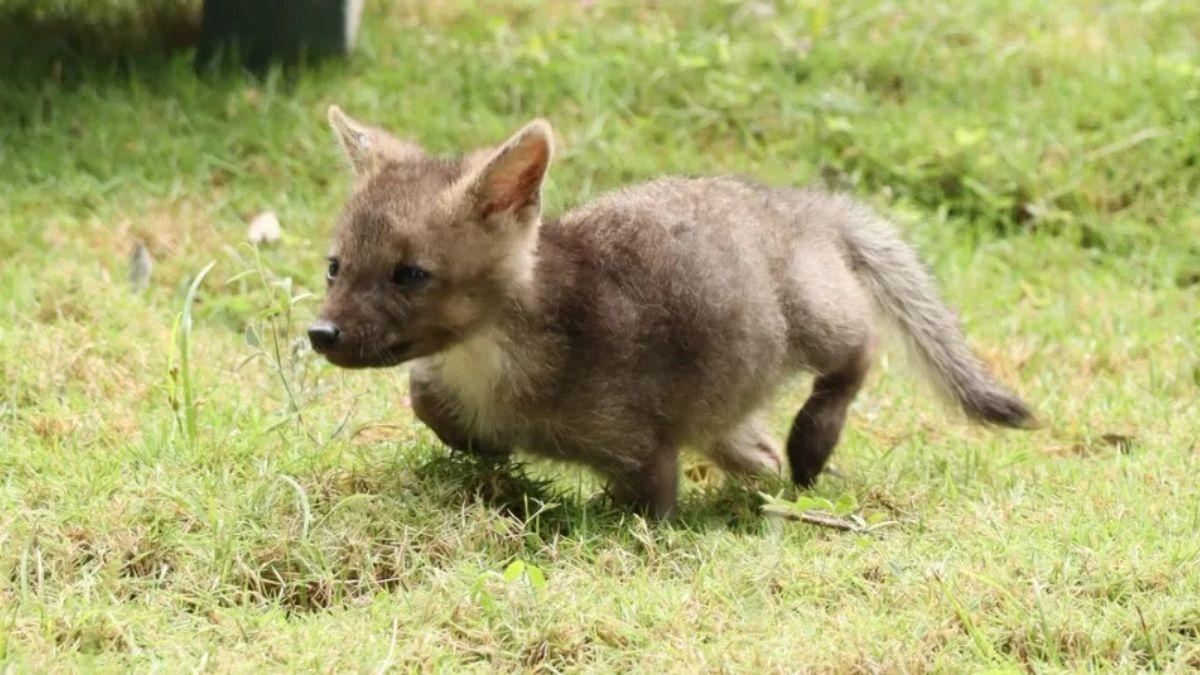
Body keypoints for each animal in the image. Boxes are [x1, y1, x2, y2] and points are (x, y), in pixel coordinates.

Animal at [309, 106, 1034, 519]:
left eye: (410, 274)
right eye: (334, 265)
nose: (321, 333)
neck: (492, 362)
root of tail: (806, 204)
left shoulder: (642, 448)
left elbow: (649, 511)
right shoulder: (446, 383)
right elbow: (425, 396)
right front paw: (481, 443)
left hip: (819, 319)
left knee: (859, 354)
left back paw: (812, 440)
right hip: (729, 402)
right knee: (757, 448)